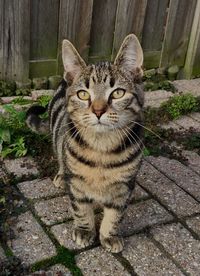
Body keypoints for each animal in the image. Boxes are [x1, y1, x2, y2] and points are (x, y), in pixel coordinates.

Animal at [26, 34, 144, 252]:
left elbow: (115, 215)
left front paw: (109, 235)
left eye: (118, 93)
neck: (101, 148)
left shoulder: (124, 186)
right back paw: (60, 175)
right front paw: (84, 230)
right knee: (61, 156)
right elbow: (81, 208)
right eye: (83, 94)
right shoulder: (77, 184)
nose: (98, 111)